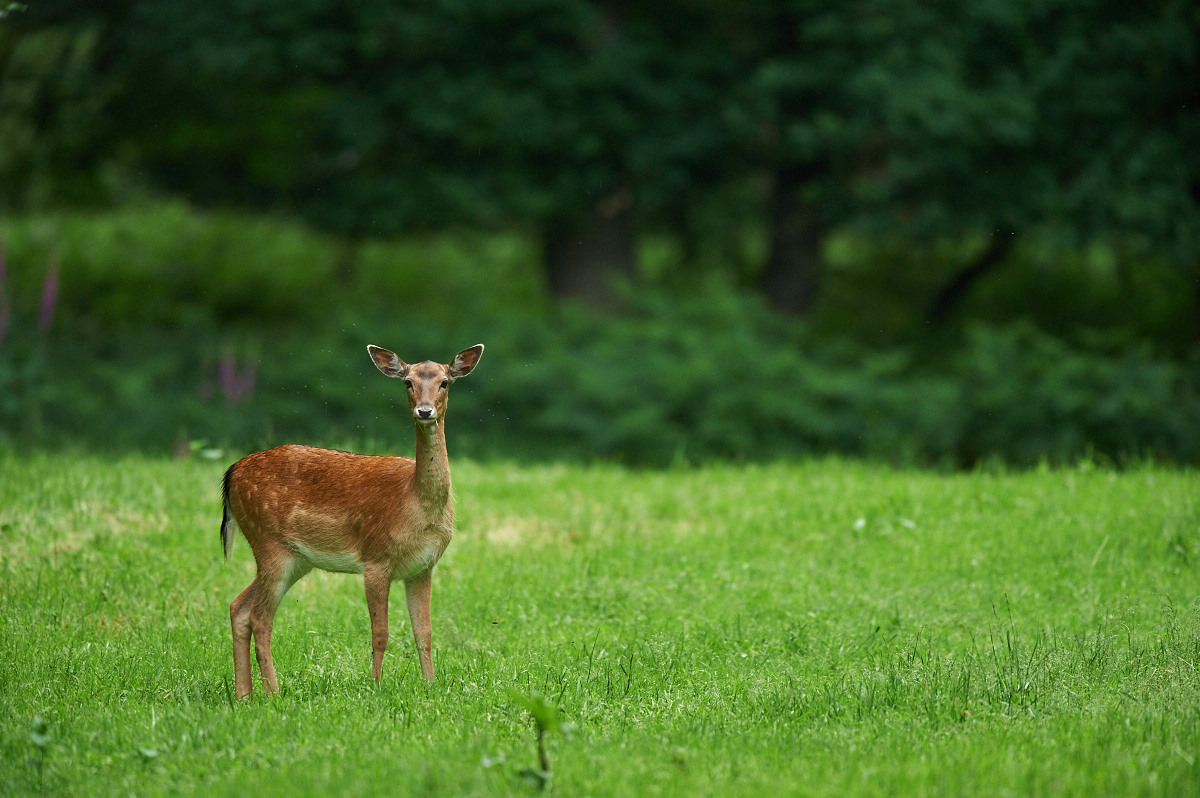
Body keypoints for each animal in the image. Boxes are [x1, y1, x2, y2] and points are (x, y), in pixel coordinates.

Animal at [220, 343, 482, 696]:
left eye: (444, 382)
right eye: (407, 382)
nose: (425, 411)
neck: (415, 503)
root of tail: (230, 474)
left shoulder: (422, 567)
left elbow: (424, 632)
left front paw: (429, 685)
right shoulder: (375, 558)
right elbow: (380, 632)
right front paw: (376, 686)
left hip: (295, 559)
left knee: (239, 606)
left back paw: (244, 695)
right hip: (268, 541)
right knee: (260, 618)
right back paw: (273, 693)